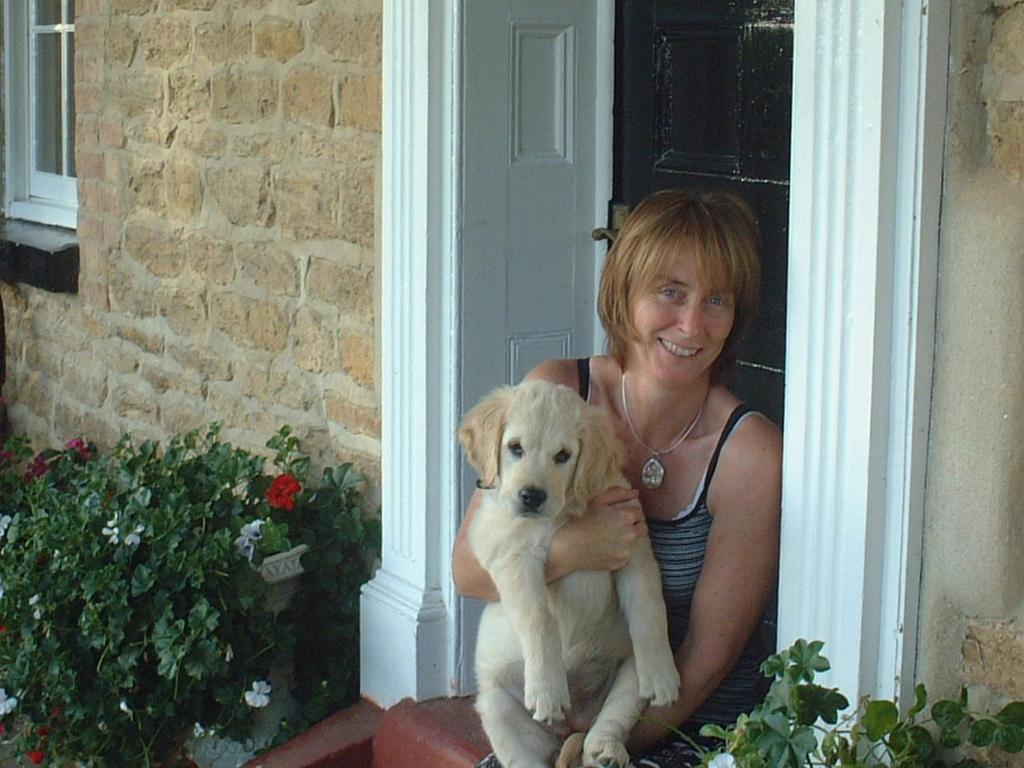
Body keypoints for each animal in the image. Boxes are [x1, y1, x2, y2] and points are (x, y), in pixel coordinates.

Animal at [458, 382, 679, 768]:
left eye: (562, 456)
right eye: (515, 447)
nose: (531, 496)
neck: (561, 516)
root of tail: (572, 722)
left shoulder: (633, 546)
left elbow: (650, 607)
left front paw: (663, 675)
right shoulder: (513, 557)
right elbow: (539, 617)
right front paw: (547, 689)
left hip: (626, 671)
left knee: (608, 721)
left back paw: (606, 751)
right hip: (496, 704)